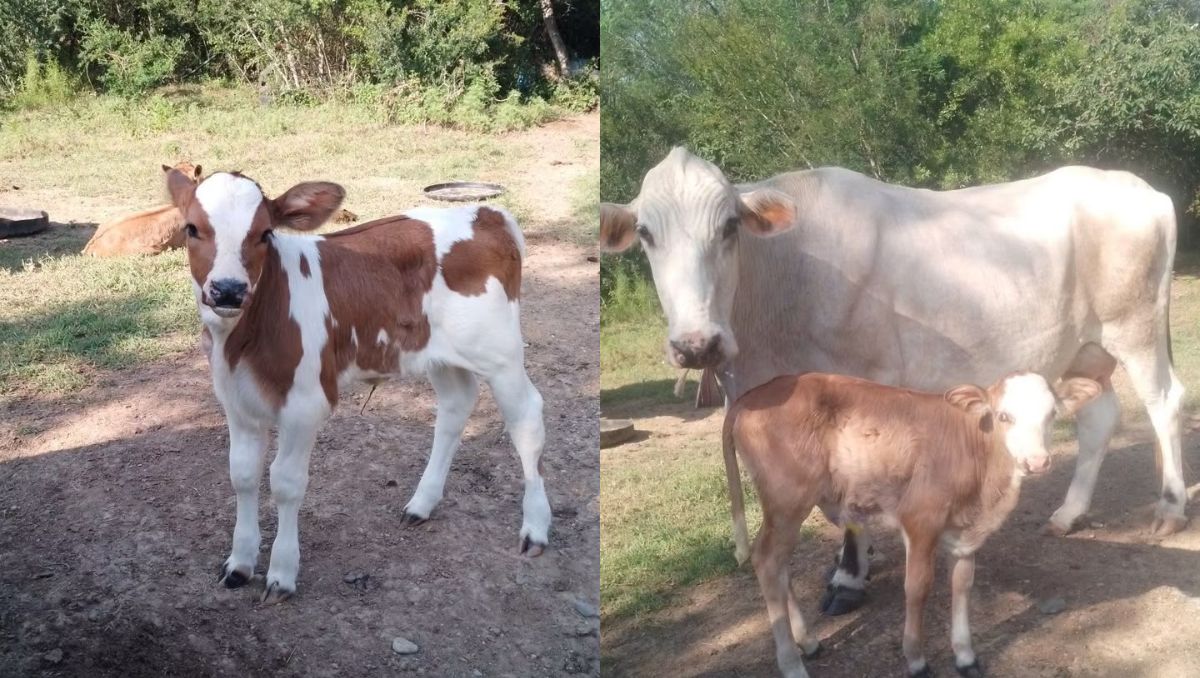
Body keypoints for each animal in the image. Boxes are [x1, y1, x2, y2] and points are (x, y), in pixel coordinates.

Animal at [166, 168, 551, 602]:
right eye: (191, 228)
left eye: (265, 233)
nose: (229, 290)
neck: (244, 340)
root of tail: (487, 214)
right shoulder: (236, 401)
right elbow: (242, 475)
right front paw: (240, 563)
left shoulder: (306, 404)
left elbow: (285, 483)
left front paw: (281, 572)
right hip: (438, 352)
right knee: (456, 406)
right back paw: (422, 503)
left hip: (500, 352)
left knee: (526, 420)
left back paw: (536, 527)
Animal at [600, 147, 1186, 614]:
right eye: (646, 234)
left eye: (728, 227)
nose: (697, 343)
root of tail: (1143, 189)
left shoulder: (863, 380)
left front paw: (848, 576)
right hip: (1087, 348)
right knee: (1100, 417)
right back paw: (1069, 513)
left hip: (1135, 326)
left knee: (1164, 401)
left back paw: (1171, 507)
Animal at [722, 371, 1102, 678]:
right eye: (1003, 416)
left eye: (1052, 415)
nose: (1037, 461)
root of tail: (754, 394)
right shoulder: (920, 521)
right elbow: (918, 588)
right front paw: (917, 660)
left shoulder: (965, 535)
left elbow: (962, 585)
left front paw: (965, 656)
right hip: (787, 502)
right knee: (767, 561)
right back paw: (792, 664)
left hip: (782, 509)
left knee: (778, 566)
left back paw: (809, 642)